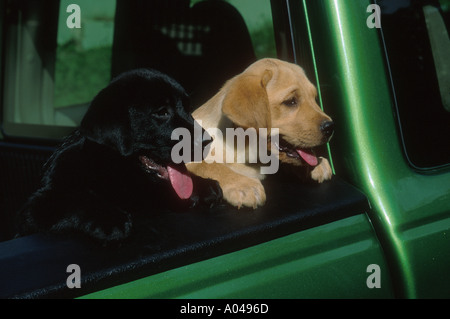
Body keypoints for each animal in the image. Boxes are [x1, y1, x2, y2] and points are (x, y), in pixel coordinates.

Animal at [15, 69, 221, 245]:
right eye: (162, 112)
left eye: (188, 109)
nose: (208, 141)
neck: (112, 172)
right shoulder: (37, 208)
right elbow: (73, 197)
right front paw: (109, 218)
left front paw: (203, 185)